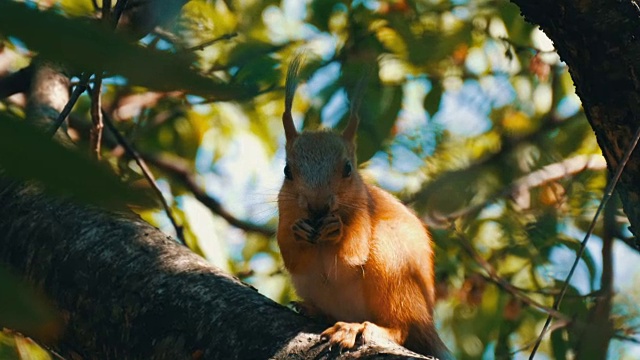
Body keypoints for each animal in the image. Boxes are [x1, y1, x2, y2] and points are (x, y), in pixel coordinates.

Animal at [276, 54, 450, 358]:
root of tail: (426, 322)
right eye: (287, 171)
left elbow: (352, 253)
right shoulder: (283, 211)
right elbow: (292, 256)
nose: (317, 206)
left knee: (401, 328)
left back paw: (355, 328)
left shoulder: (364, 212)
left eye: (348, 169)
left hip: (392, 268)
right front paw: (298, 231)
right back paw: (313, 310)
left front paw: (338, 229)